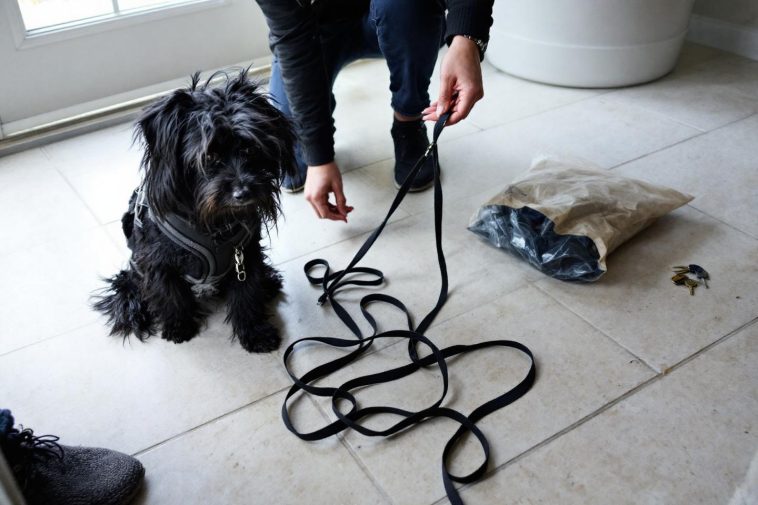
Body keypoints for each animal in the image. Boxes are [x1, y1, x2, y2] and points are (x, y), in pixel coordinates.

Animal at [93, 71, 296, 352]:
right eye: (208, 157)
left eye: (250, 148)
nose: (243, 193)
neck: (212, 223)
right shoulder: (158, 262)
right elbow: (169, 294)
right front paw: (179, 326)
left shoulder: (245, 254)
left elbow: (247, 294)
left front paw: (255, 333)